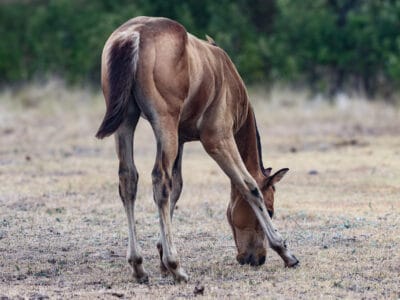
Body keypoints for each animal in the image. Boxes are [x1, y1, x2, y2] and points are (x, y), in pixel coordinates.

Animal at [95, 17, 298, 284]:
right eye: (271, 211)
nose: (256, 259)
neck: (226, 77)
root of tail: (134, 34)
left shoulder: (180, 139)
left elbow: (178, 187)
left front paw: (161, 256)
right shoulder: (218, 140)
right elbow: (249, 185)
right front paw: (285, 251)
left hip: (128, 121)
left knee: (129, 178)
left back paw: (138, 266)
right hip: (164, 123)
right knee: (159, 180)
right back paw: (176, 266)